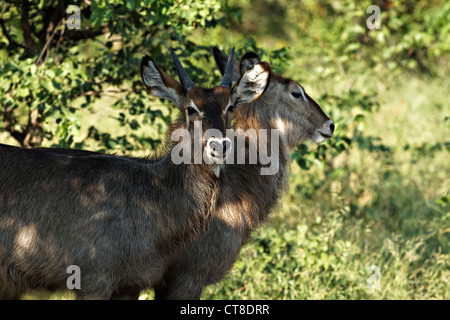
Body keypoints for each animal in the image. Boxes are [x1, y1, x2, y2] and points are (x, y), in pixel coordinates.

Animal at [0, 47, 268, 300]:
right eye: (191, 108)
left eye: (230, 106)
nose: (219, 146)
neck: (152, 194)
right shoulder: (94, 280)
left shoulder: (130, 284)